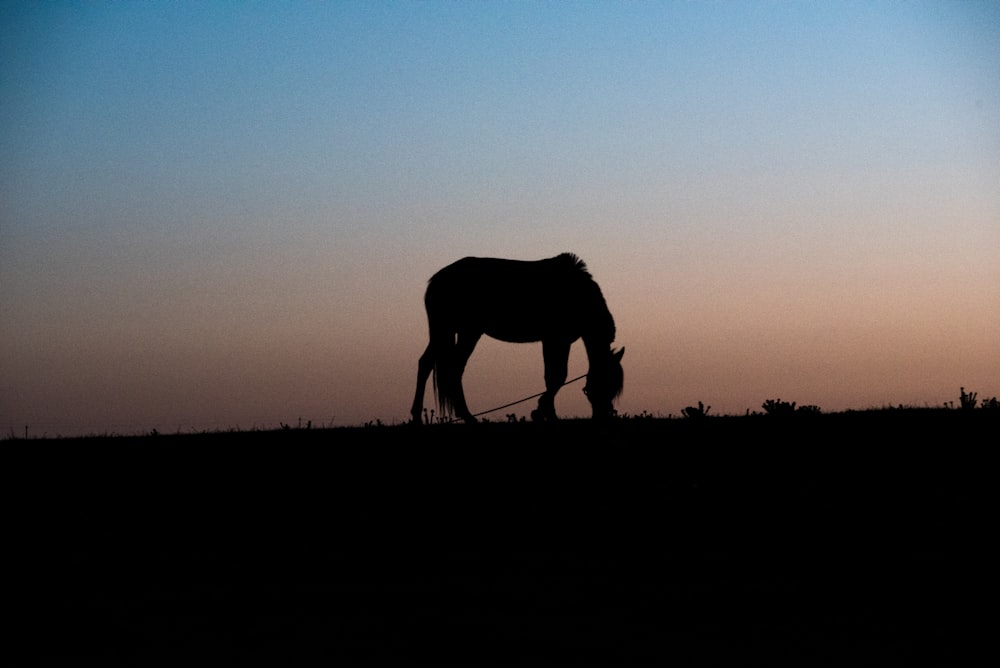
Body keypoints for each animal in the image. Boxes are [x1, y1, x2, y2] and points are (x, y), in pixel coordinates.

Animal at [410, 253, 620, 426]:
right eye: (605, 384)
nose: (604, 416)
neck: (579, 294)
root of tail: (436, 280)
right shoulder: (554, 339)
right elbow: (556, 377)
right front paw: (541, 412)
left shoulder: (561, 341)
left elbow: (554, 377)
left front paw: (548, 414)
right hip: (465, 331)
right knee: (452, 368)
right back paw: (467, 417)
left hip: (446, 332)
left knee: (427, 364)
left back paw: (418, 416)